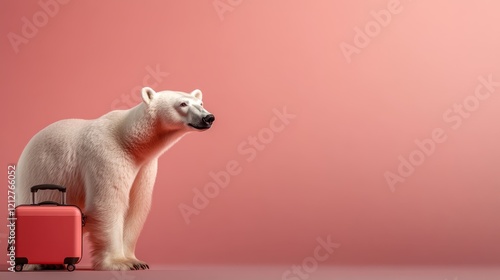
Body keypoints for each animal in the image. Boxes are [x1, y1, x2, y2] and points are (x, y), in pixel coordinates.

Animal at [15, 87, 215, 270]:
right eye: (183, 104)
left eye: (201, 103)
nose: (208, 117)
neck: (130, 141)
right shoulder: (107, 156)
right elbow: (109, 202)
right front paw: (119, 262)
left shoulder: (145, 168)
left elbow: (136, 206)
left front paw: (136, 261)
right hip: (41, 171)